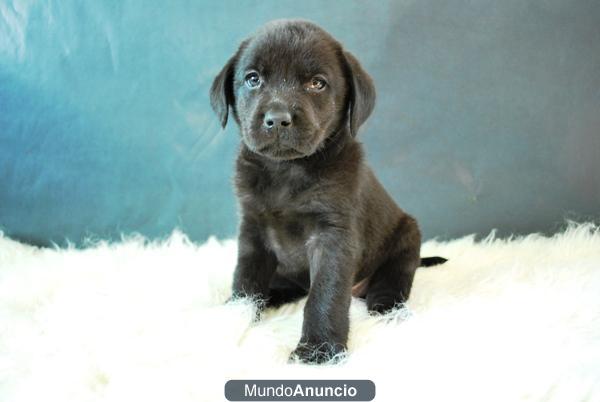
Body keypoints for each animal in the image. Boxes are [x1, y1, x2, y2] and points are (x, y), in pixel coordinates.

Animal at [211, 19, 446, 364]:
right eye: (253, 79)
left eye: (317, 83)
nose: (278, 119)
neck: (287, 171)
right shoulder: (253, 229)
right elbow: (246, 279)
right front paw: (234, 316)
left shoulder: (332, 237)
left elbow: (325, 295)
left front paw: (318, 350)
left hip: (406, 237)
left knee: (392, 282)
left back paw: (387, 308)